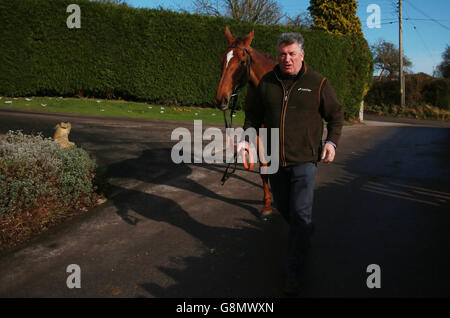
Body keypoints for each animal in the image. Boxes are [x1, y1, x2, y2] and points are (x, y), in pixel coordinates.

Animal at [214, 27, 276, 216]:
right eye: (222, 59)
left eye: (242, 61)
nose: (221, 99)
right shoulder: (259, 131)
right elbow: (264, 168)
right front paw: (267, 204)